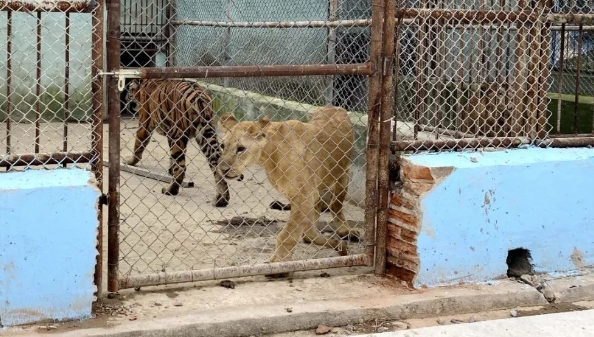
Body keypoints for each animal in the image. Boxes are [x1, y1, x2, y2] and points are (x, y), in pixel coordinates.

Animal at [215, 106, 358, 264]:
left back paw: (346, 231)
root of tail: (335, 107)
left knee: (335, 205)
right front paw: (338, 245)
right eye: (222, 146)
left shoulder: (303, 197)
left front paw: (276, 262)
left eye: (241, 148)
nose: (222, 169)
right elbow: (304, 230)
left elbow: (287, 234)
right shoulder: (301, 195)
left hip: (343, 174)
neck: (269, 157)